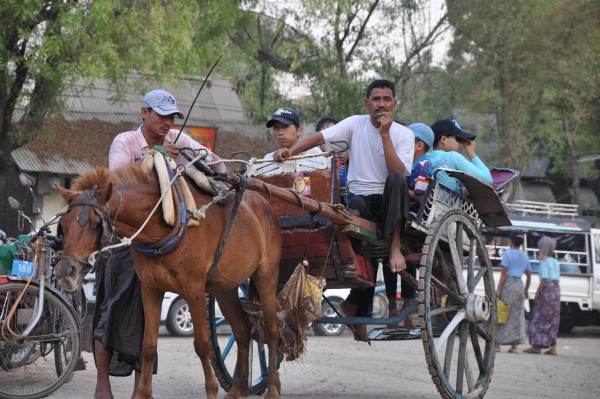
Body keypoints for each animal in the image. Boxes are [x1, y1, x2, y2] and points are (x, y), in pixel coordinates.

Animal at [54, 164, 284, 398]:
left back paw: (273, 388)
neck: (163, 226)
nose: (65, 271)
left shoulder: (194, 290)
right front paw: (142, 393)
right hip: (224, 288)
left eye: (94, 224)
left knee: (272, 331)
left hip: (266, 276)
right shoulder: (150, 289)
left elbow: (202, 345)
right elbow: (147, 346)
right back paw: (238, 388)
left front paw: (211, 390)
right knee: (243, 330)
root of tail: (264, 203)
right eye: (63, 225)